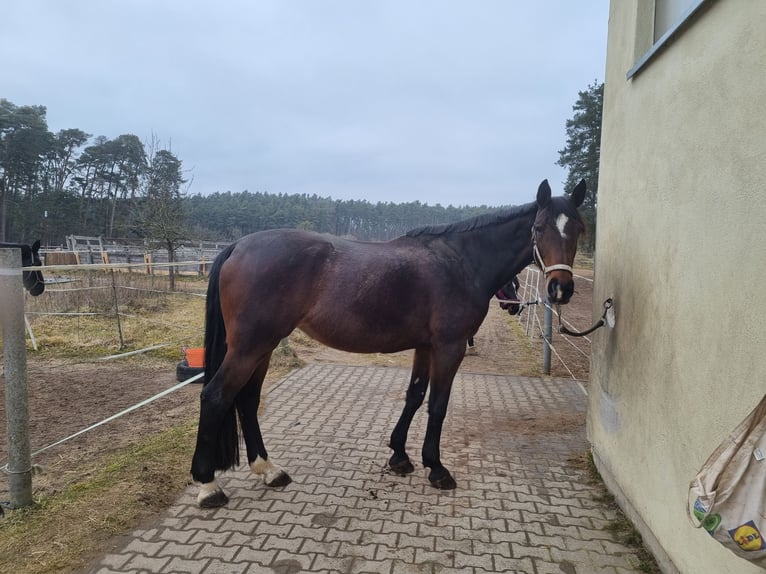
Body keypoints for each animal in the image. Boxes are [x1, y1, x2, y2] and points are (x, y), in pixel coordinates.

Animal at [192, 179, 588, 508]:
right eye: (539, 228)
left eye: (579, 229)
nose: (560, 289)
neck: (461, 261)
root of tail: (237, 246)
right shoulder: (450, 347)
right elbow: (438, 405)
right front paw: (436, 468)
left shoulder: (425, 347)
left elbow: (415, 395)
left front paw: (399, 455)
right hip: (250, 347)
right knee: (216, 396)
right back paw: (208, 486)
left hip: (264, 347)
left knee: (246, 400)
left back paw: (269, 470)